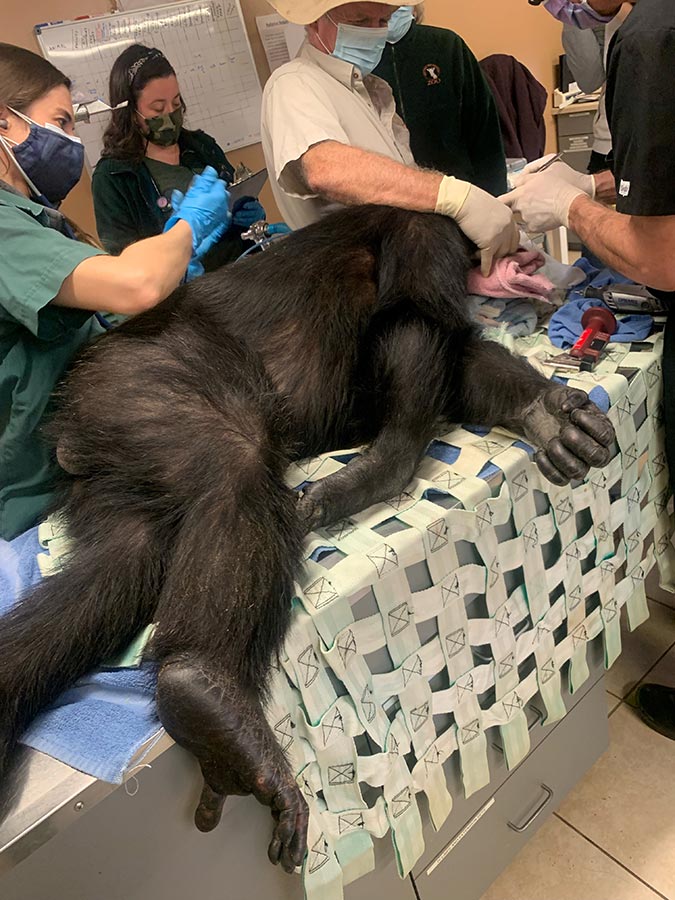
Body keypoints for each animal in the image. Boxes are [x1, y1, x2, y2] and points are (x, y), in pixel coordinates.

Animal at [0, 204, 616, 872]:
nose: (527, 262)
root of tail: (68, 424)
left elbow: (456, 362)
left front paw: (548, 413)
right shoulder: (423, 236)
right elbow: (413, 316)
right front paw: (387, 463)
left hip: (116, 480)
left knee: (113, 574)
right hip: (137, 387)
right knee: (235, 458)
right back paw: (206, 686)